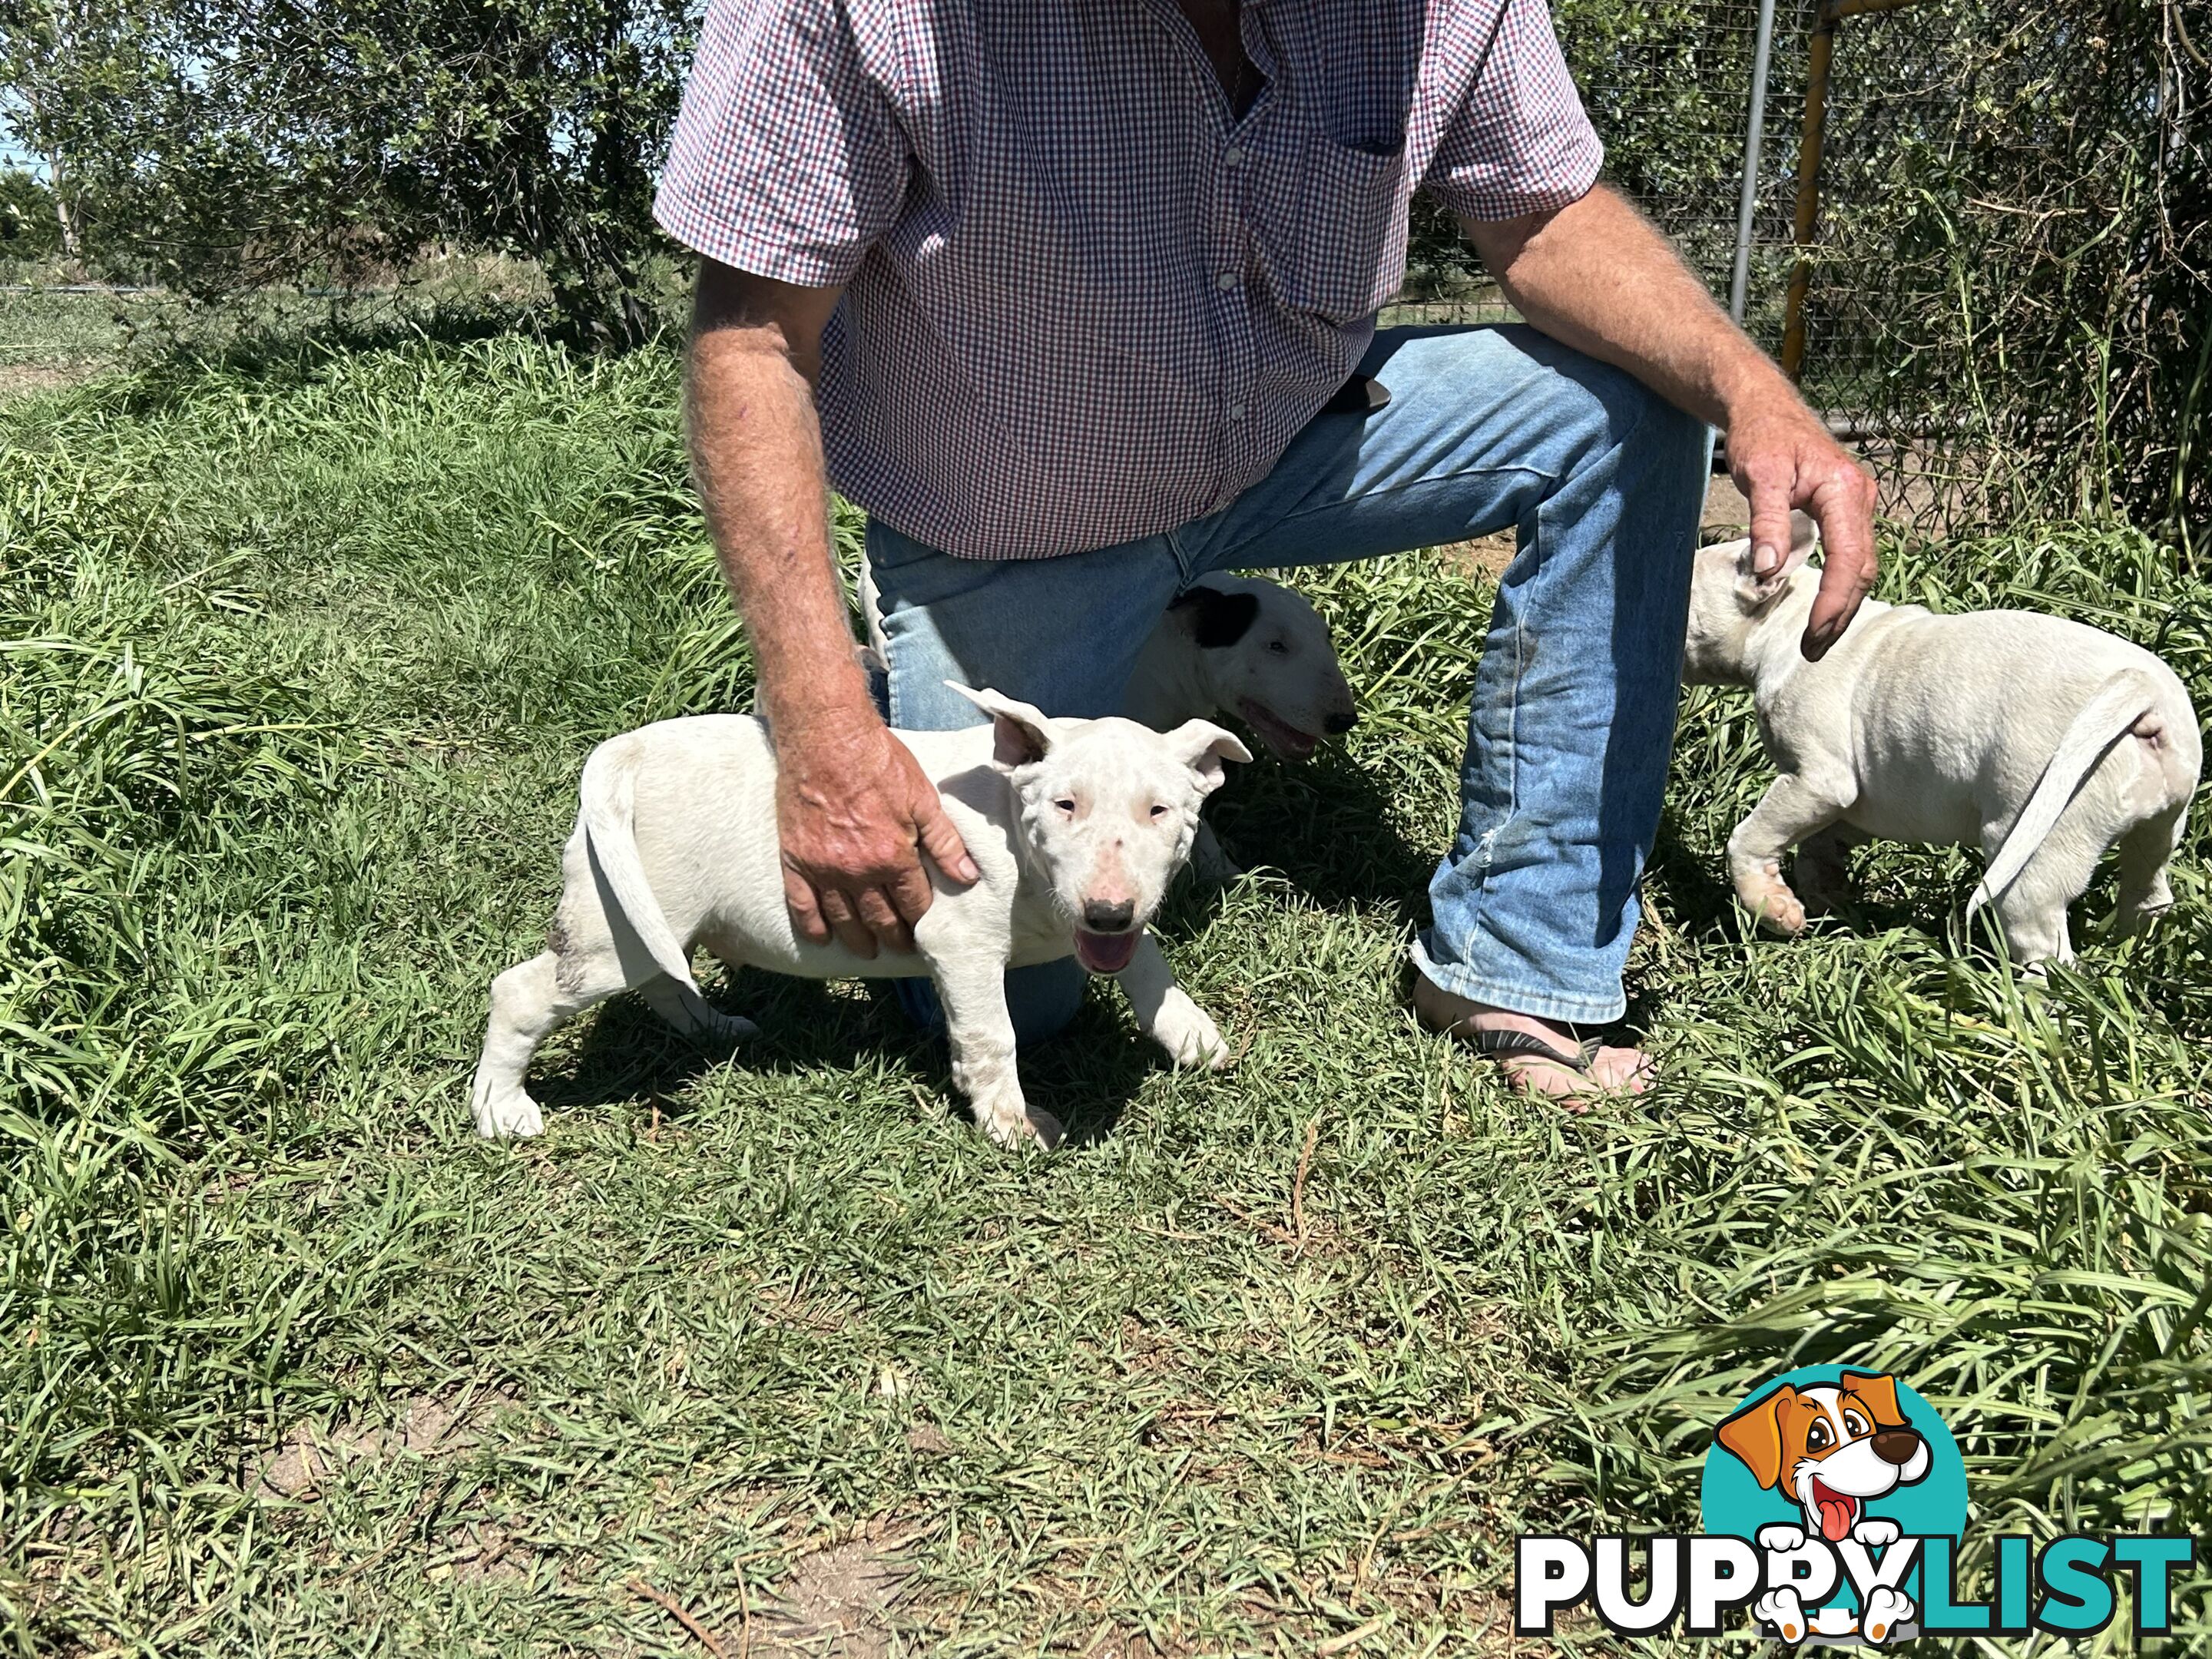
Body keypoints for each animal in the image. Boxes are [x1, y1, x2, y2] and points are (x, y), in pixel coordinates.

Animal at [469, 681, 1256, 1150]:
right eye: (1066, 805)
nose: (1108, 910)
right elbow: (992, 1036)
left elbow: (1147, 963)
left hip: (652, 917)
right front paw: (1012, 1124)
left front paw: (1191, 1036)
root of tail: (625, 751)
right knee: (521, 992)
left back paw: (715, 1026)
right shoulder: (959, 942)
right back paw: (502, 1110)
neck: (1011, 826)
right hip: (616, 927)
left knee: (666, 977)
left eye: (1160, 811)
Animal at [1690, 513, 2194, 969]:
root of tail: (2139, 690)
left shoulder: (1819, 781)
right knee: (2148, 888)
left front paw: (1774, 908)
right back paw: (2130, 953)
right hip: (2160, 824)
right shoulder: (1860, 803)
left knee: (2045, 944)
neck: (1788, 622)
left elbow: (1750, 837)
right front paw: (1827, 900)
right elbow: (1819, 846)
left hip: (2035, 845)